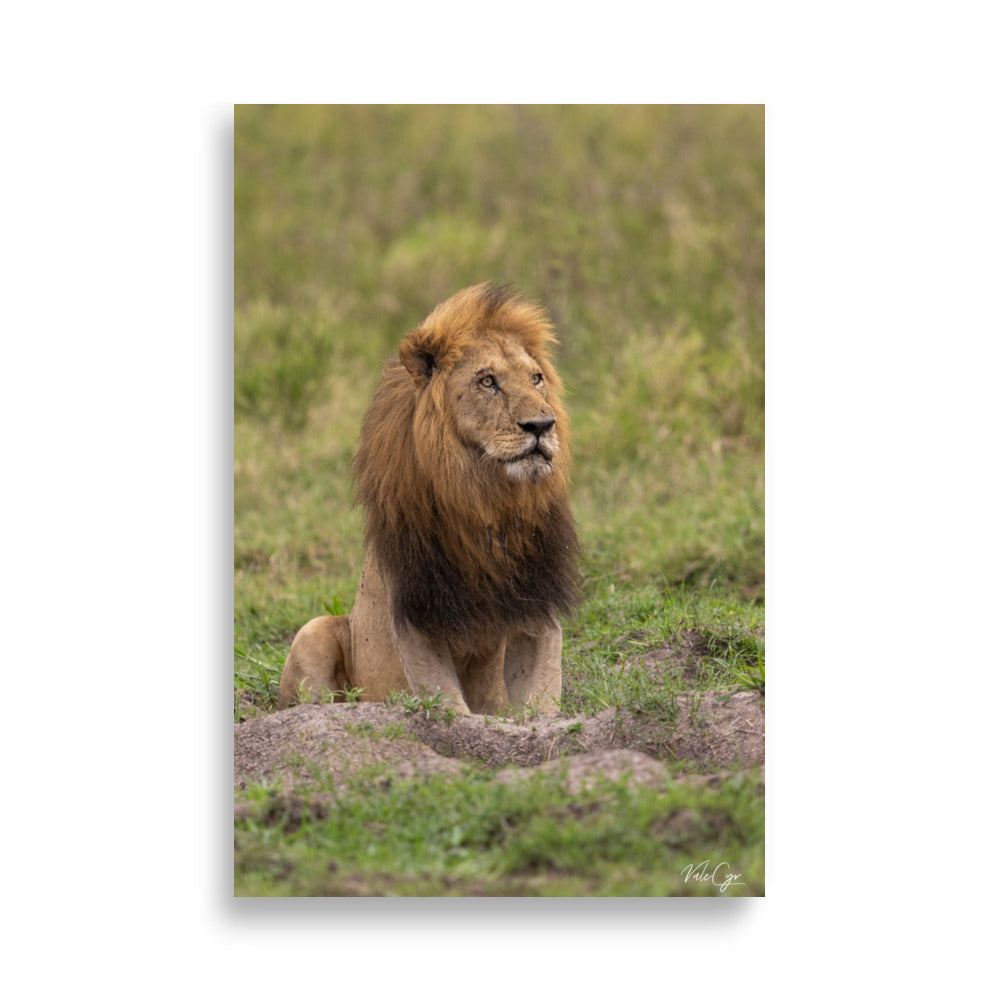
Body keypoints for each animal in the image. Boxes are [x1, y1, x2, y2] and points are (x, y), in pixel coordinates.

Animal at [278, 286, 584, 716]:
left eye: (536, 378)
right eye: (487, 381)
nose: (542, 425)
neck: (488, 504)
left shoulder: (537, 611)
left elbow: (540, 704)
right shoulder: (416, 619)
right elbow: (448, 706)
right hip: (315, 629)